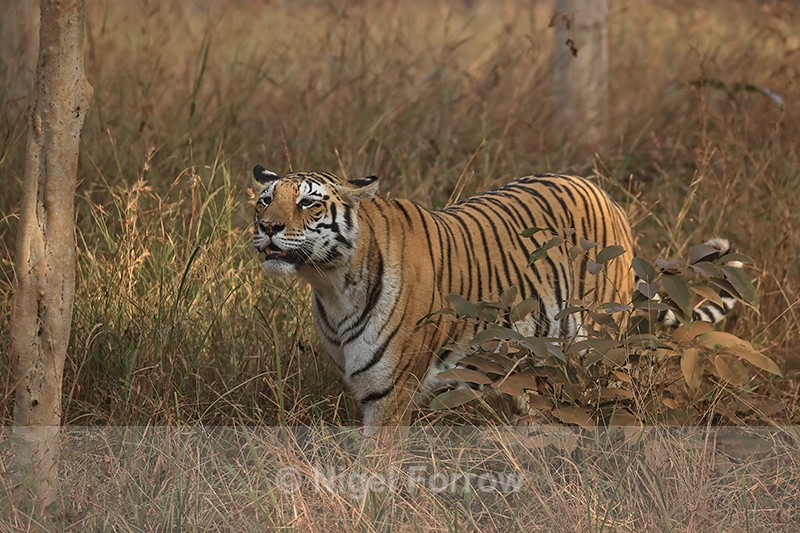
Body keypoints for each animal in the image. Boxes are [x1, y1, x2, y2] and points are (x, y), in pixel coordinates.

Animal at [251, 166, 735, 433]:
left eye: (309, 203)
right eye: (264, 200)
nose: (268, 227)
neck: (331, 285)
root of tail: (606, 196)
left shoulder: (389, 393)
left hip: (596, 348)